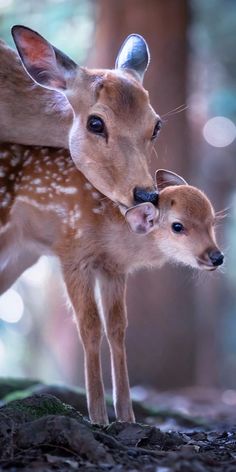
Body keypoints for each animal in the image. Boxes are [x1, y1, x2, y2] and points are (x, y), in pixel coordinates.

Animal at [0, 143, 223, 424]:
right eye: (177, 226)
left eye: (212, 220)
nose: (217, 257)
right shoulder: (73, 255)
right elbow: (90, 326)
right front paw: (98, 416)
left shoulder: (114, 269)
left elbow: (116, 327)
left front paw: (127, 416)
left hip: (22, 254)